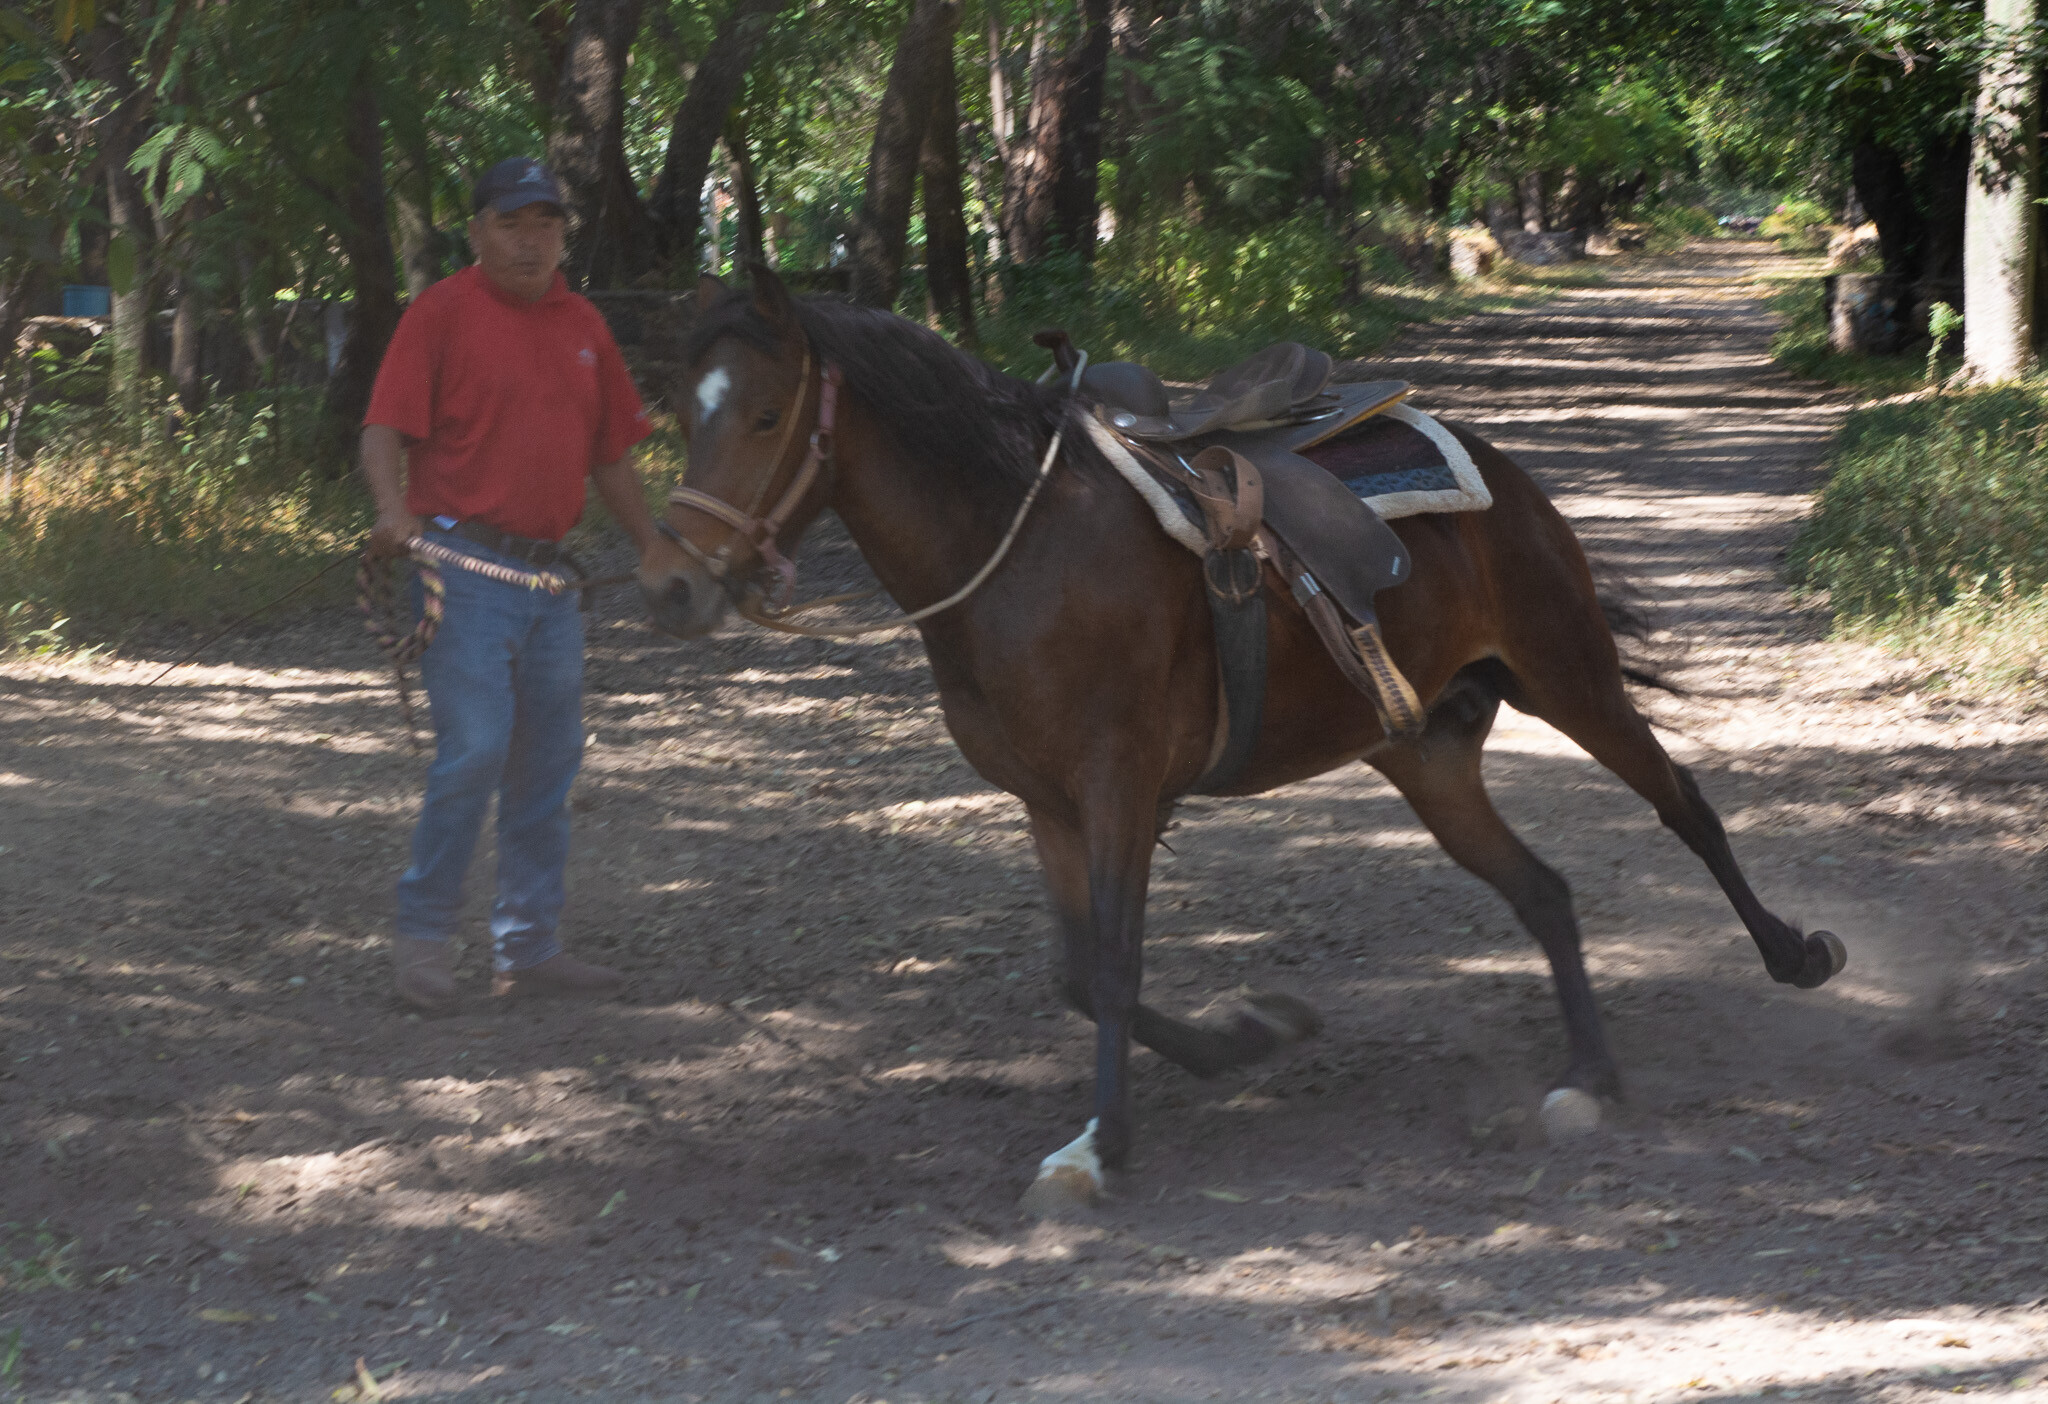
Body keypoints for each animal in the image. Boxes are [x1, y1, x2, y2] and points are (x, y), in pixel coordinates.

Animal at [634, 268, 1847, 1211]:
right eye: (687, 415)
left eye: (762, 416)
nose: (673, 589)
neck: (1016, 549)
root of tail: (1500, 472)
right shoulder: (1047, 804)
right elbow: (1080, 974)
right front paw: (1243, 1040)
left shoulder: (1118, 786)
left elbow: (1113, 967)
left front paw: (1101, 1149)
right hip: (1422, 752)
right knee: (1541, 891)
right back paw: (1587, 1075)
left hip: (1567, 673)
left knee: (1682, 803)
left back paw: (1793, 954)